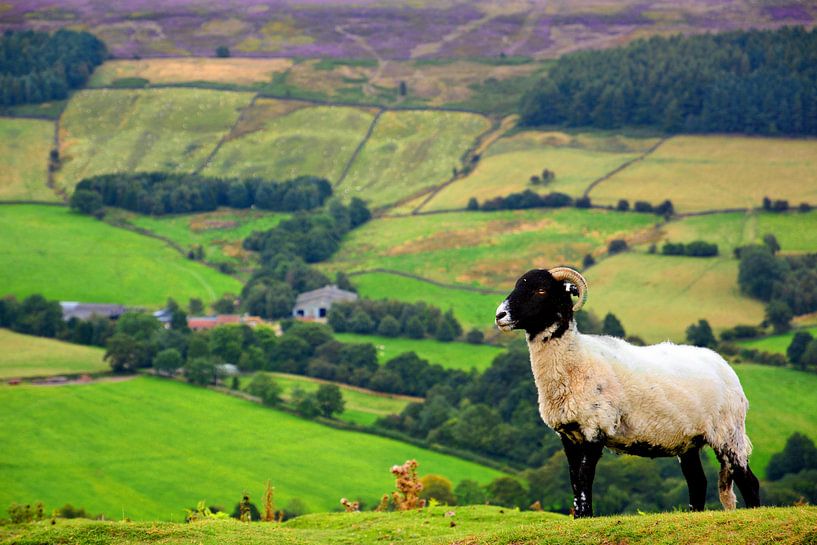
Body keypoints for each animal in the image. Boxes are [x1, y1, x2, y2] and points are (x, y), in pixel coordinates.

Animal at [494, 268, 760, 520]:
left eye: (541, 290)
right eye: (518, 285)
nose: (500, 316)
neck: (578, 360)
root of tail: (725, 366)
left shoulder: (595, 428)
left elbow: (584, 478)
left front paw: (585, 516)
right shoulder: (569, 434)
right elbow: (574, 479)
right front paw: (579, 517)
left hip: (728, 432)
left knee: (748, 480)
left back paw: (755, 511)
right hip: (689, 440)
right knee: (697, 481)